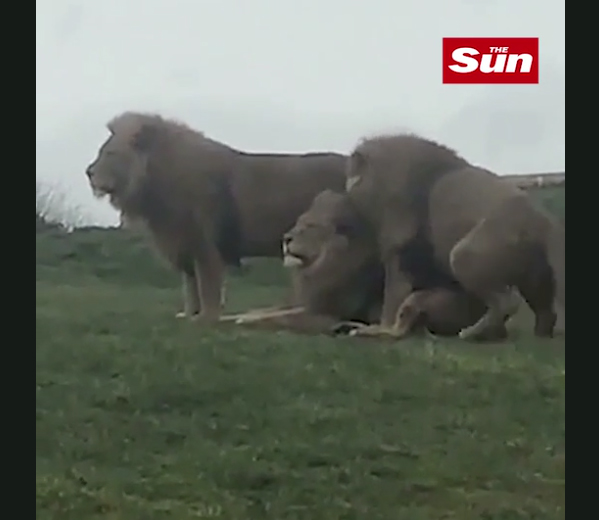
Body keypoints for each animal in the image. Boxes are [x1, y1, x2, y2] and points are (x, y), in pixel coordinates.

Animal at [84, 111, 346, 320]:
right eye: (101, 151)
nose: (88, 172)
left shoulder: (204, 246)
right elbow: (190, 287)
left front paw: (207, 318)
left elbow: (206, 286)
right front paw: (189, 315)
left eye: (110, 153)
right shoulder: (184, 245)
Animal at [224, 191, 506, 342]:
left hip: (416, 297)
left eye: (311, 227)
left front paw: (243, 320)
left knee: (398, 331)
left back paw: (359, 331)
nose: (286, 238)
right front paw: (229, 316)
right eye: (298, 223)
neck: (317, 269)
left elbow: (278, 318)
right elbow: (262, 310)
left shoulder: (323, 313)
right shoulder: (301, 301)